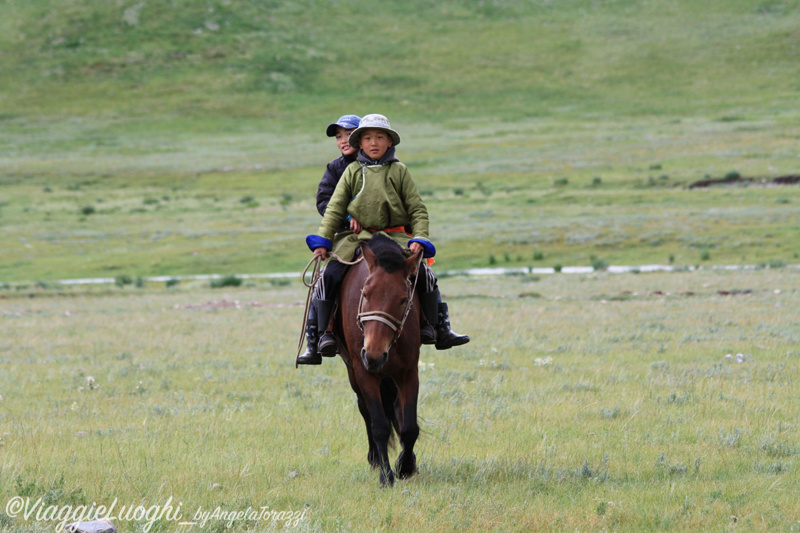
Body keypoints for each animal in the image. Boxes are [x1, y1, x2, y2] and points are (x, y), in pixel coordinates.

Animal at [334, 233, 424, 486]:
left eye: (403, 299)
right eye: (365, 294)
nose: (373, 355)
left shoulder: (409, 372)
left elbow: (409, 426)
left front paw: (406, 466)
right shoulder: (364, 372)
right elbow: (380, 426)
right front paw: (386, 475)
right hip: (353, 372)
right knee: (365, 411)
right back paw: (374, 459)